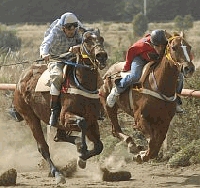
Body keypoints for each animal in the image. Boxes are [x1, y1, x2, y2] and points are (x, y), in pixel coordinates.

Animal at [12, 28, 108, 183]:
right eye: (87, 40)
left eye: (101, 39)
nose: (102, 56)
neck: (81, 83)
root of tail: (20, 80)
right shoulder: (65, 116)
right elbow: (81, 123)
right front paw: (82, 153)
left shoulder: (92, 121)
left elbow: (99, 146)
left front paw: (82, 156)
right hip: (30, 117)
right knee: (43, 147)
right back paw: (57, 173)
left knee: (59, 137)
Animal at [99, 31, 195, 163]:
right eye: (174, 47)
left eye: (189, 47)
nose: (189, 68)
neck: (159, 85)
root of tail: (108, 72)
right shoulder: (140, 119)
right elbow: (152, 141)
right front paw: (142, 155)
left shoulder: (164, 122)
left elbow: (156, 144)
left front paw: (143, 154)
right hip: (109, 107)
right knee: (115, 130)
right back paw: (132, 145)